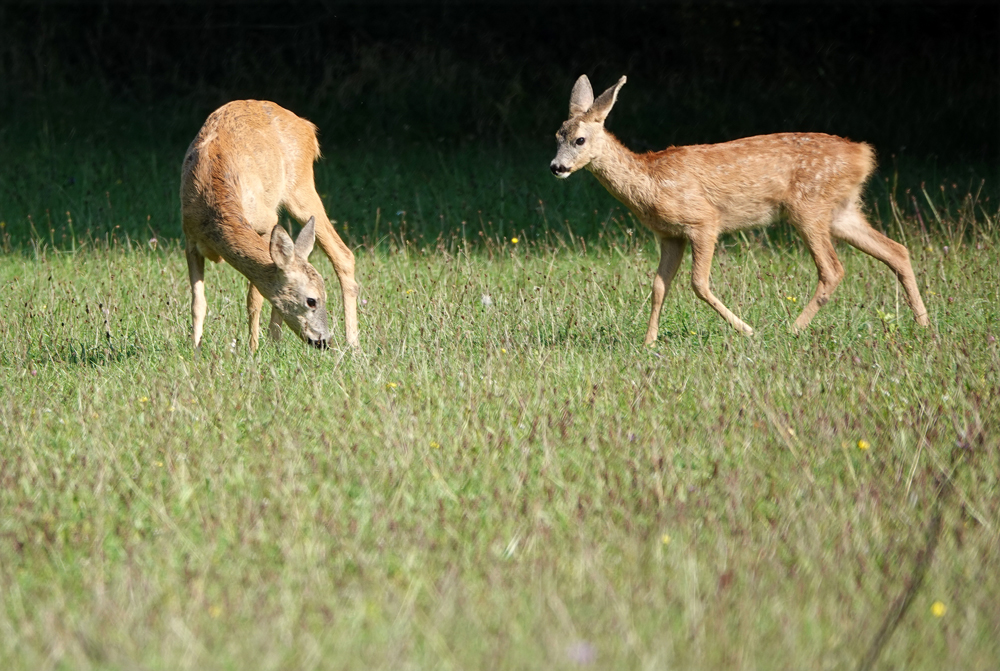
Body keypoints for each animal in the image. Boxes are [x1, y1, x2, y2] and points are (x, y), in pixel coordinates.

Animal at [182, 101, 362, 352]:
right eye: (312, 300)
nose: (323, 341)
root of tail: (307, 126)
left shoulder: (267, 221)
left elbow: (254, 298)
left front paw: (253, 349)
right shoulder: (189, 237)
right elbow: (197, 302)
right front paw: (195, 349)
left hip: (300, 187)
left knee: (343, 253)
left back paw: (352, 344)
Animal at [548, 76, 928, 344]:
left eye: (580, 140)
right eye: (556, 136)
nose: (556, 167)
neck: (651, 182)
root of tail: (863, 154)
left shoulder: (703, 221)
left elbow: (698, 283)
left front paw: (746, 329)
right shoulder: (669, 235)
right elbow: (658, 286)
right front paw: (648, 342)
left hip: (809, 206)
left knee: (833, 269)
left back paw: (791, 329)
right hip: (840, 211)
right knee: (897, 250)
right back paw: (923, 323)